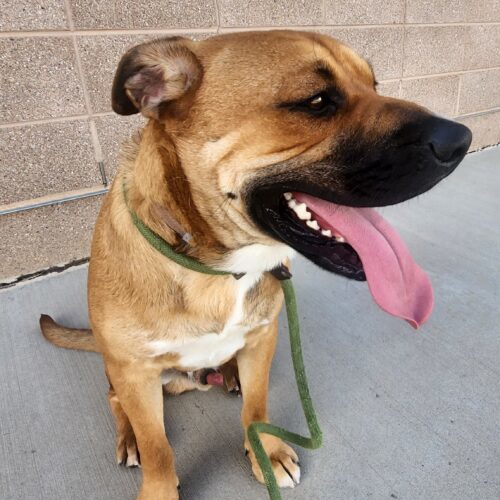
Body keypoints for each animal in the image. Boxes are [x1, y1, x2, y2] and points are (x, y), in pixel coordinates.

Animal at [40, 29, 472, 498]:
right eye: (317, 101)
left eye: (374, 85)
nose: (462, 140)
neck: (216, 268)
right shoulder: (134, 372)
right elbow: (158, 450)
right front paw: (158, 484)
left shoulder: (263, 338)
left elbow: (257, 406)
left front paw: (266, 450)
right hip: (122, 370)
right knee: (115, 400)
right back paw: (129, 435)